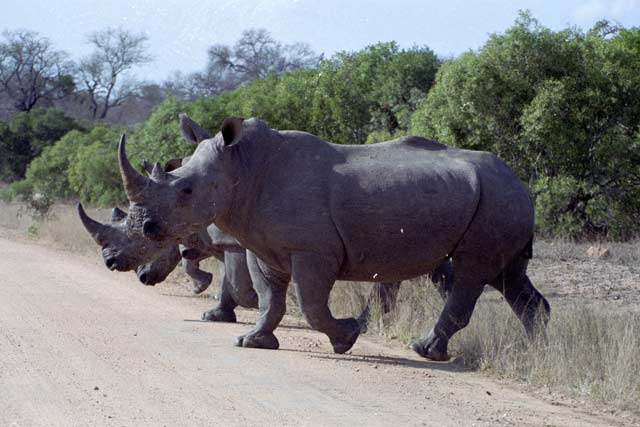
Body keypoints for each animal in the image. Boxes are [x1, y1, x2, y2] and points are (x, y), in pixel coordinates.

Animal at [116, 115, 550, 361]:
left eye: (186, 190)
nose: (147, 226)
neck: (240, 165)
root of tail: (519, 181)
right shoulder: (262, 248)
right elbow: (271, 299)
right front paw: (253, 342)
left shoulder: (312, 250)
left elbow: (310, 304)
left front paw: (348, 337)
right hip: (497, 198)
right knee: (509, 276)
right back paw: (536, 353)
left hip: (495, 200)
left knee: (472, 271)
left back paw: (423, 351)